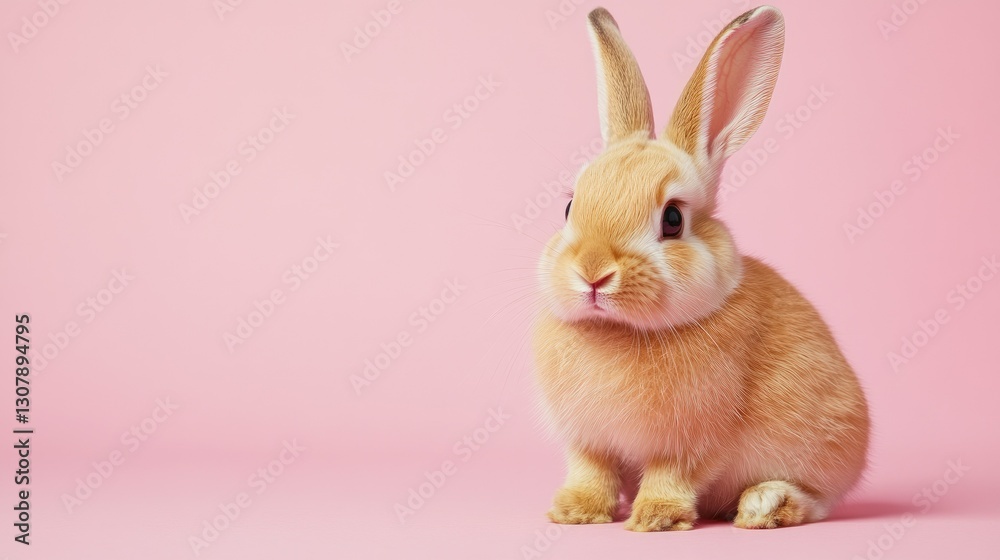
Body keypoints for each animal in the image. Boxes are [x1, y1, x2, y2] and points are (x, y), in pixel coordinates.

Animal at [532, 6, 870, 531]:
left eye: (672, 219)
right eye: (569, 208)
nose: (593, 272)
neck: (617, 332)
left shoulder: (694, 439)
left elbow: (672, 475)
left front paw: (656, 518)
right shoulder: (588, 440)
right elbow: (591, 471)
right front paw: (574, 512)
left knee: (817, 502)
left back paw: (765, 505)